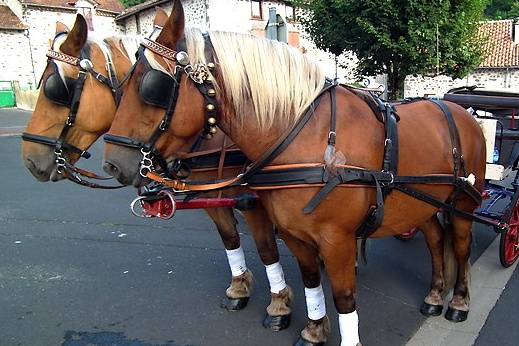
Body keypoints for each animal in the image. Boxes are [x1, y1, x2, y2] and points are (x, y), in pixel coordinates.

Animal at [20, 11, 294, 330]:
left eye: (57, 91)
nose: (30, 160)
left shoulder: (253, 203)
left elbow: (266, 250)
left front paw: (279, 304)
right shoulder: (210, 199)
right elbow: (230, 238)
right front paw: (239, 288)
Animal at [101, 1, 488, 344]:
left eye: (152, 87)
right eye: (123, 84)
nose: (113, 163)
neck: (306, 139)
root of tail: (460, 110)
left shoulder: (337, 240)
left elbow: (344, 297)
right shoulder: (294, 234)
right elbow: (310, 281)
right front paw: (314, 331)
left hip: (463, 203)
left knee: (461, 245)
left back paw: (458, 301)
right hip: (423, 203)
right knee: (436, 239)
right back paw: (435, 295)